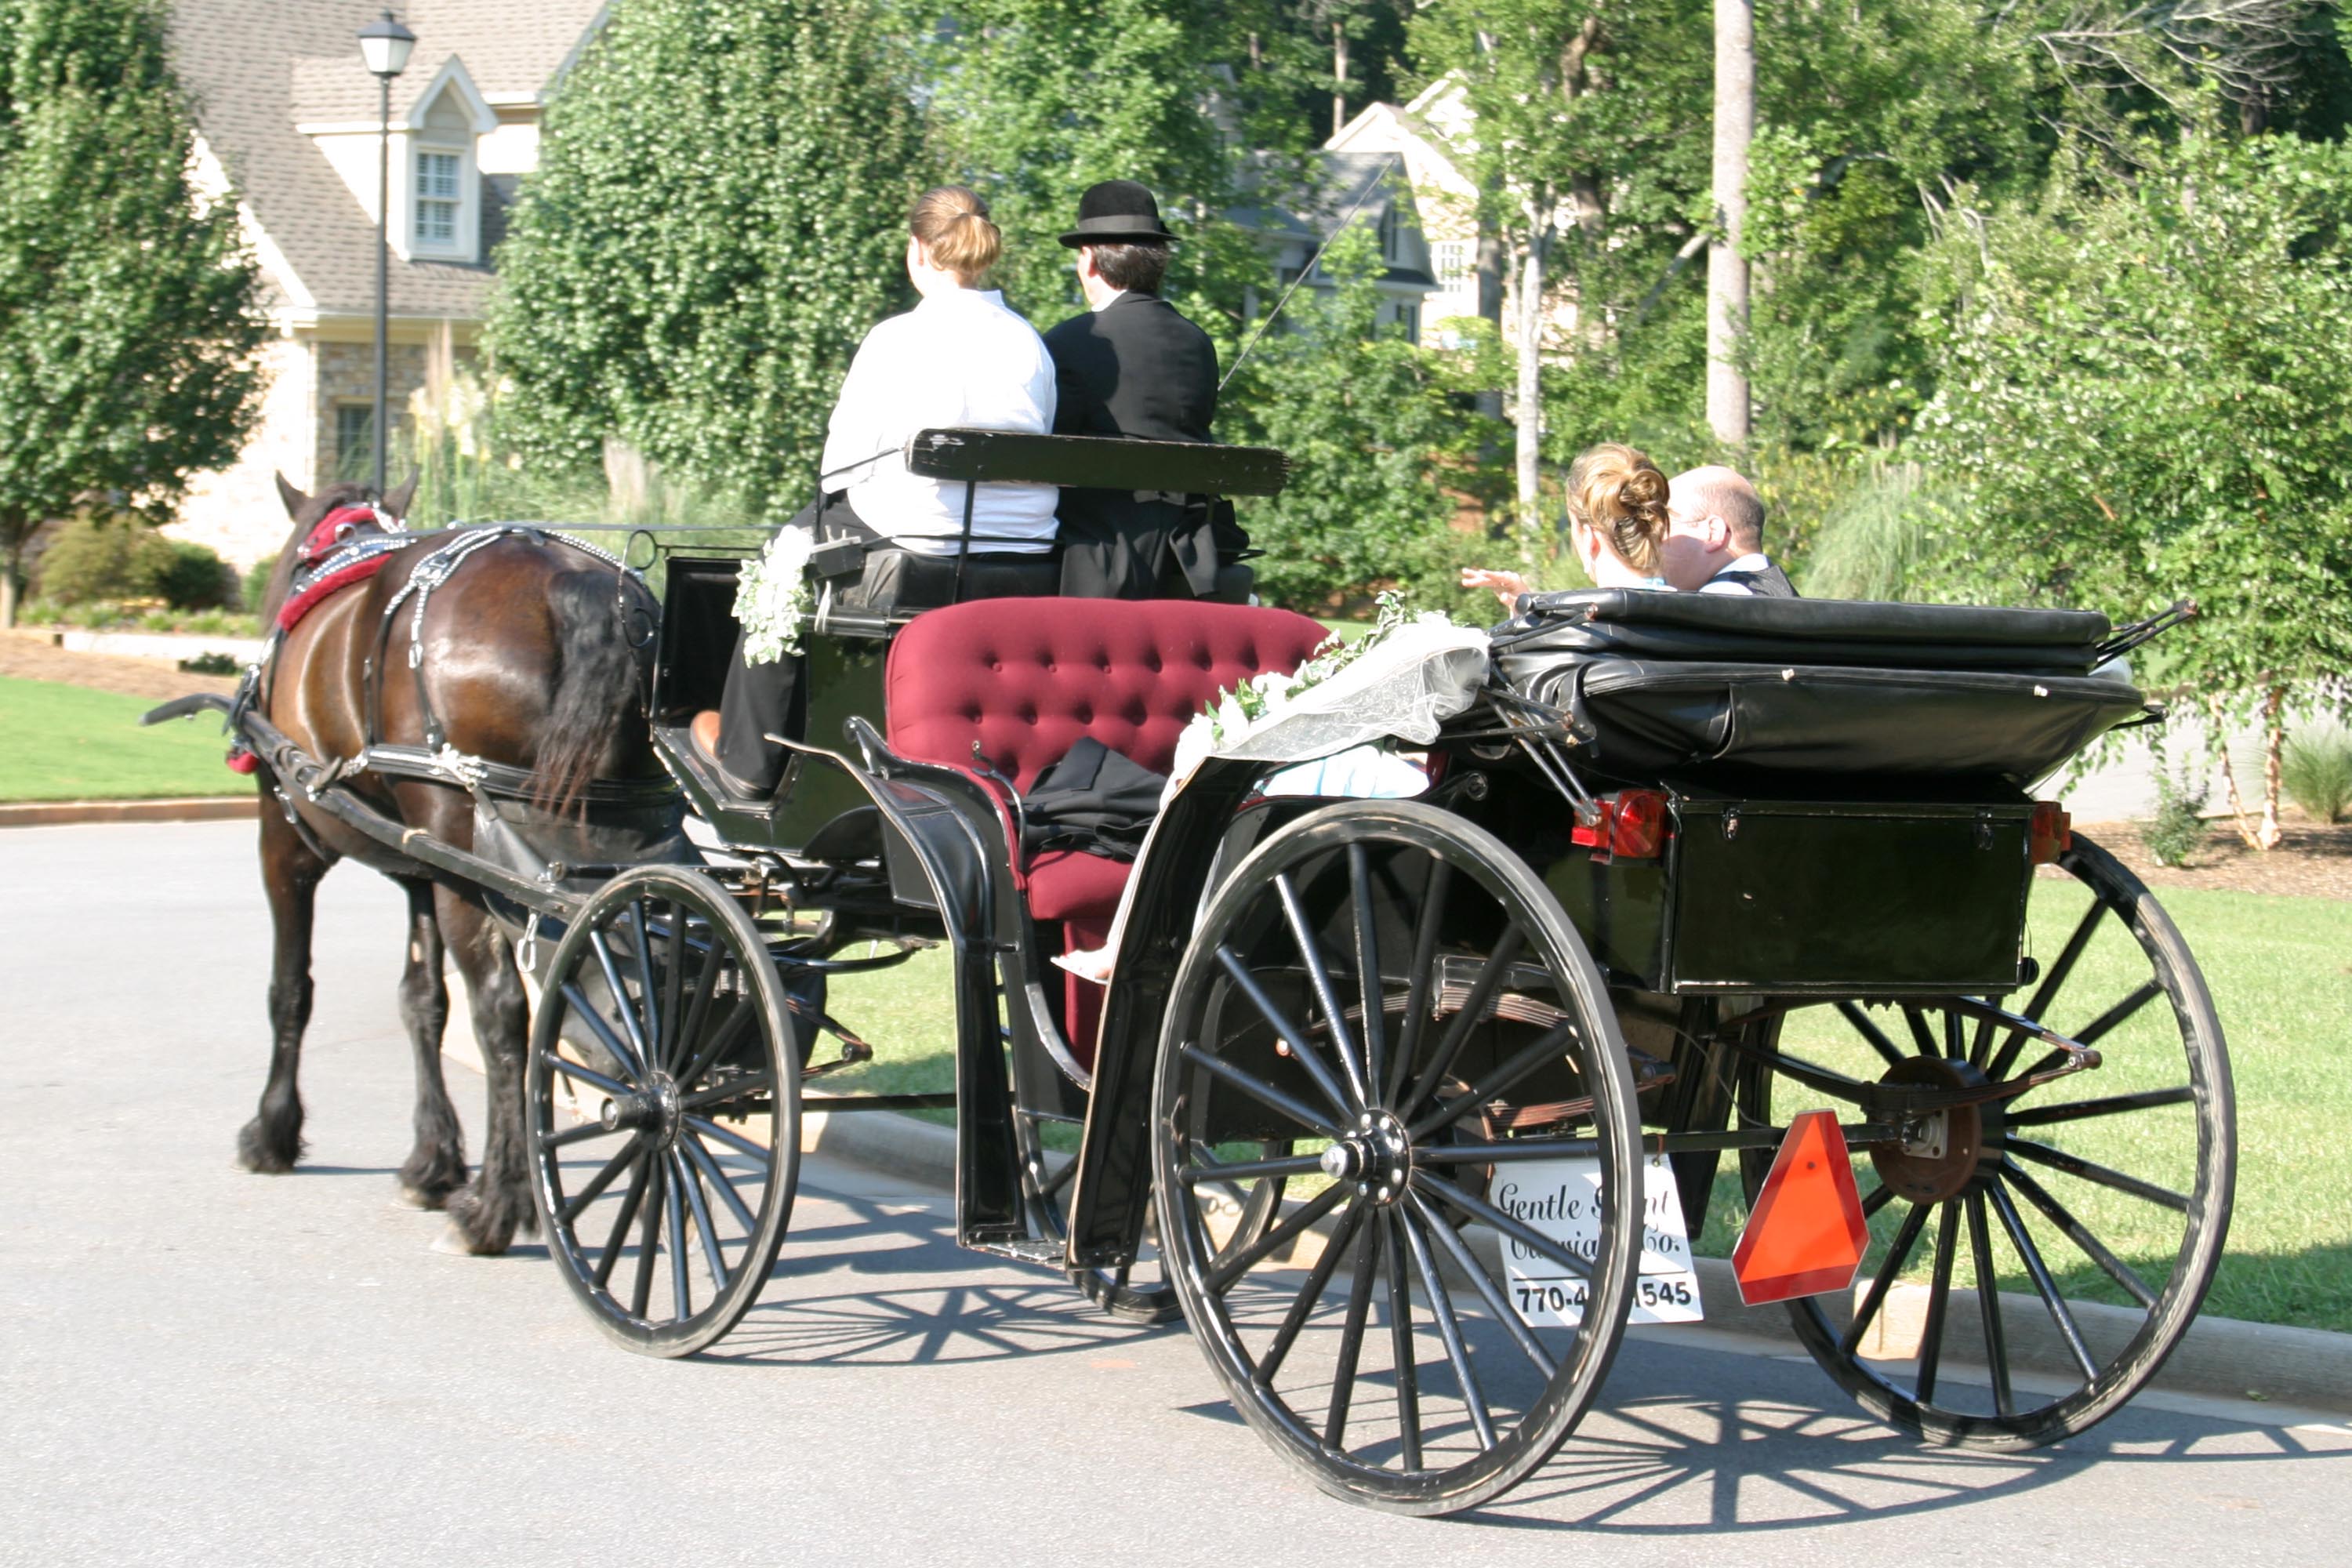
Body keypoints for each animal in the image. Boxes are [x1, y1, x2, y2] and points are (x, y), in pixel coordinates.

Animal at [241, 475, 665, 1253]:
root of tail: (574, 583)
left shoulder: (285, 842)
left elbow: (290, 989)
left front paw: (273, 1130)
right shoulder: (419, 869)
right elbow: (421, 1003)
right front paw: (432, 1160)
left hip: (466, 855)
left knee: (504, 1009)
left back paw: (498, 1204)